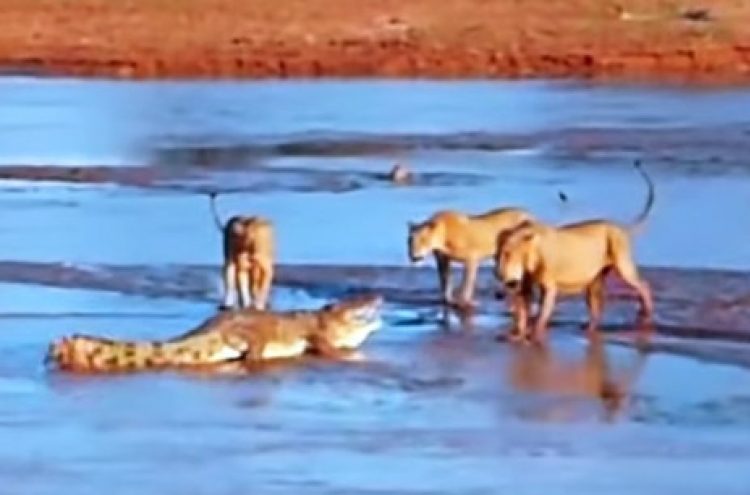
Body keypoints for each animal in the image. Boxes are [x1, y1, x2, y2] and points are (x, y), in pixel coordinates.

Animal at [500, 161, 656, 342]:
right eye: (502, 253)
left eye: (508, 254)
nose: (500, 291)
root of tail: (620, 227)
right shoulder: (525, 284)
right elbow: (523, 311)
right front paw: (518, 334)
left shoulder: (549, 287)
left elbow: (540, 314)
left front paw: (534, 334)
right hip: (594, 279)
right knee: (596, 306)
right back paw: (589, 329)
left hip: (622, 263)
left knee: (644, 286)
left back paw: (645, 313)